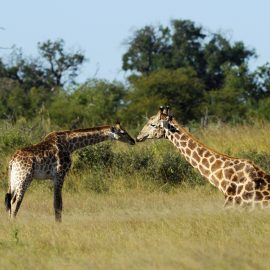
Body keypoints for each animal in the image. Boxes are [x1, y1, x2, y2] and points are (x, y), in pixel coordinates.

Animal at [4, 122, 135, 221]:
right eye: (123, 132)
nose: (133, 141)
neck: (70, 144)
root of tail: (12, 160)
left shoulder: (55, 177)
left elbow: (56, 204)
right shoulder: (60, 174)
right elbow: (58, 204)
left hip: (14, 180)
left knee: (9, 201)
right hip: (24, 178)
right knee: (16, 202)